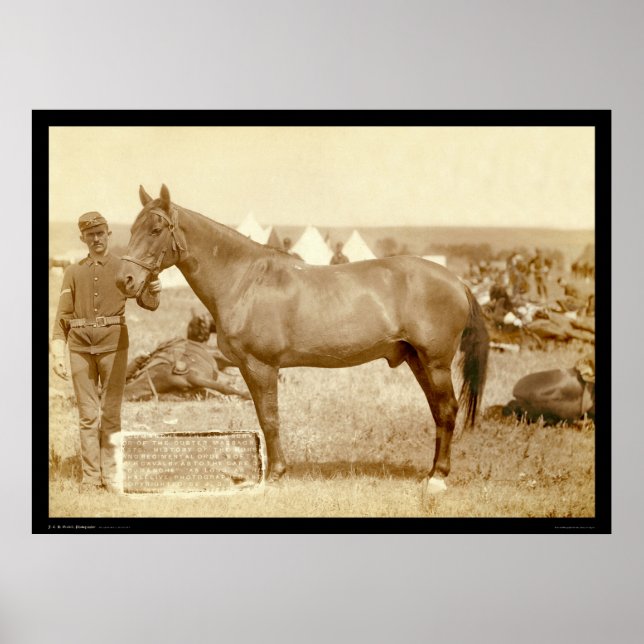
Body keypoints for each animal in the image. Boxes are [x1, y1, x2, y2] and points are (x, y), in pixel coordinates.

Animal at [116, 184, 489, 489]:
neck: (245, 280)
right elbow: (263, 416)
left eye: (155, 229)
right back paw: (432, 472)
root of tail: (456, 281)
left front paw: (276, 473)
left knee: (447, 410)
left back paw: (438, 477)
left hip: (436, 363)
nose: (125, 280)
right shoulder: (247, 368)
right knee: (438, 411)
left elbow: (270, 418)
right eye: (131, 228)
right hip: (417, 360)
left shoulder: (262, 366)